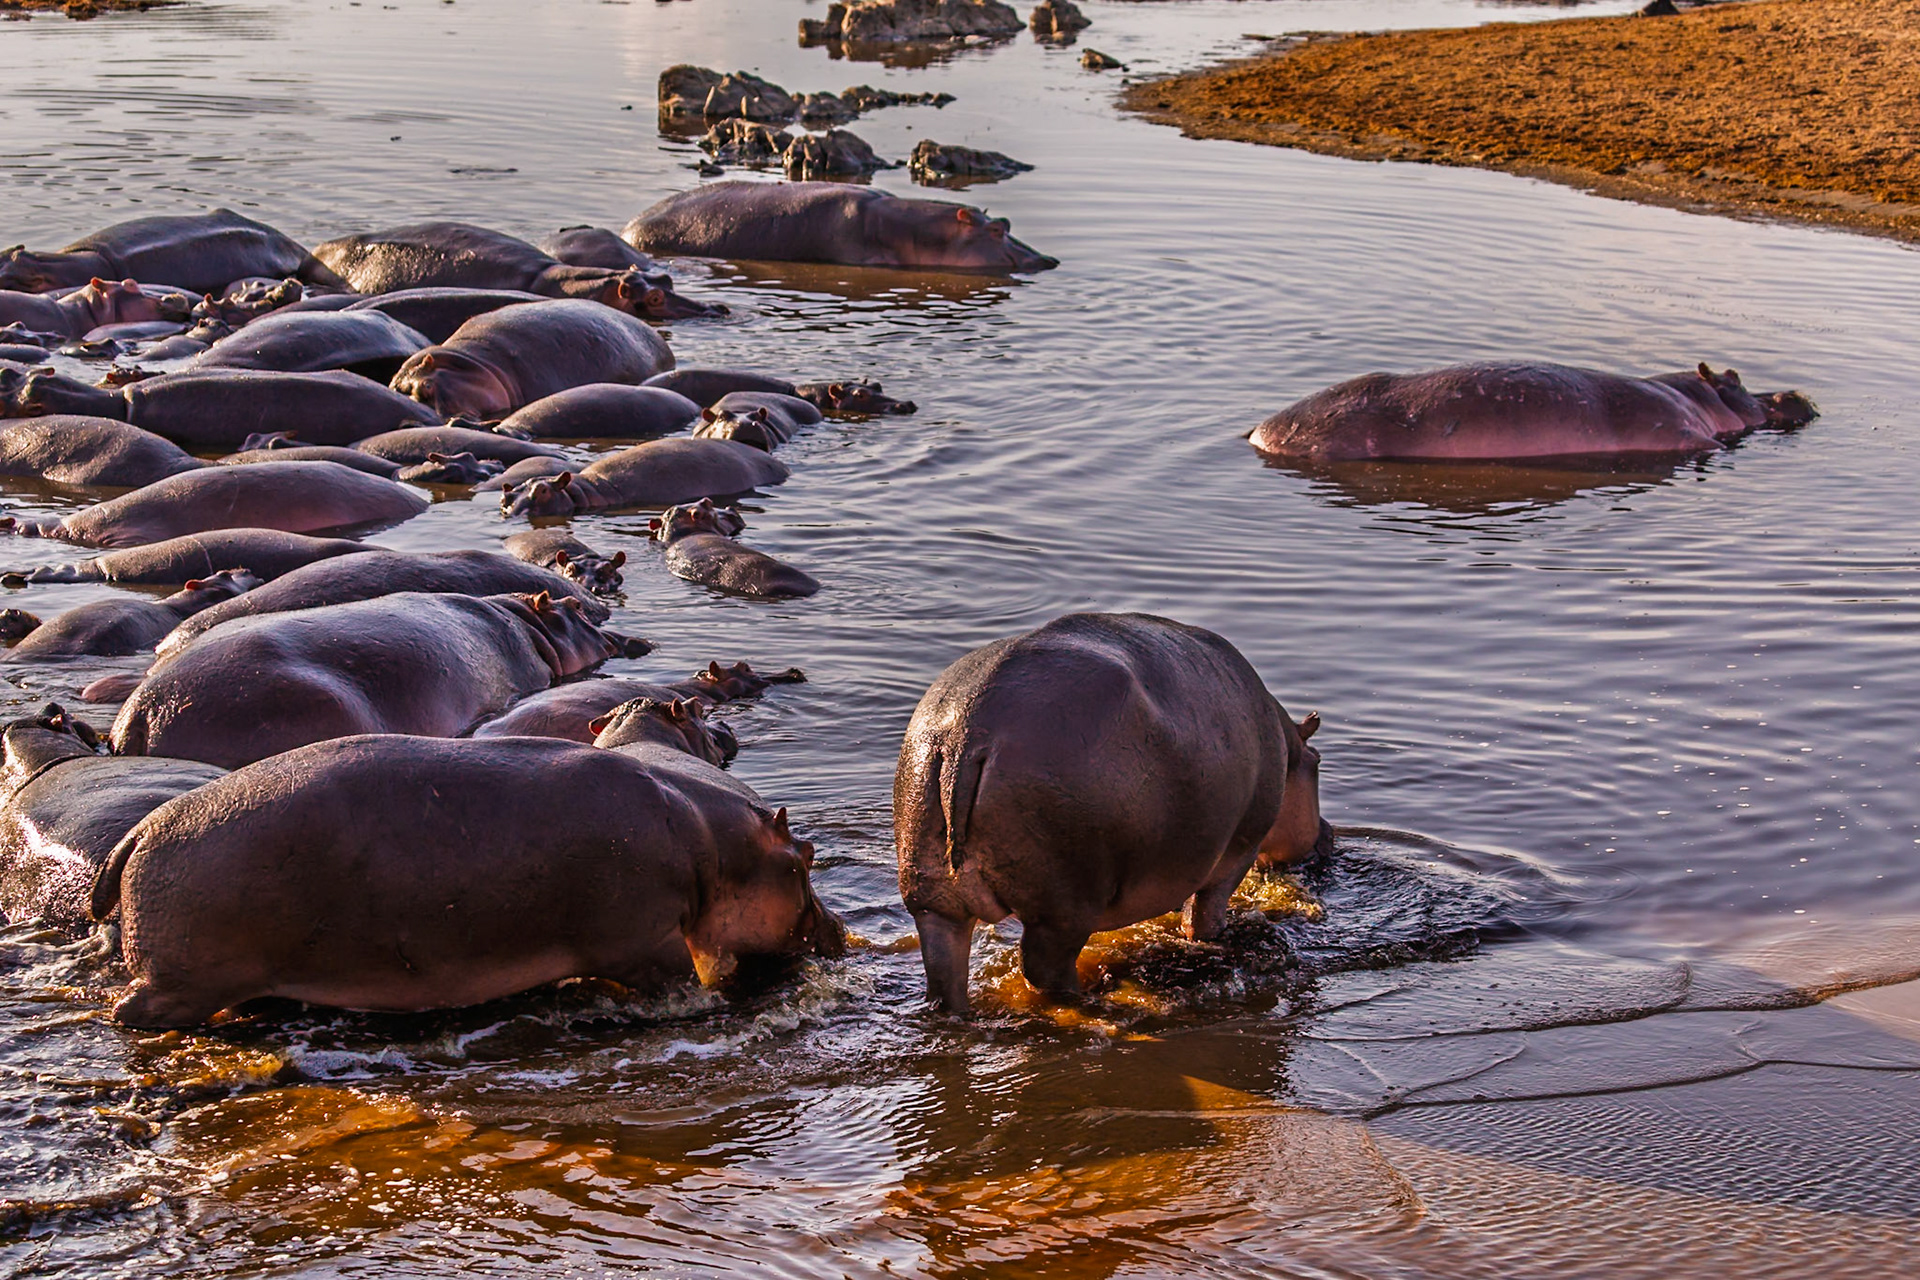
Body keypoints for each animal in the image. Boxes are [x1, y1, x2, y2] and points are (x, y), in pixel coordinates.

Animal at [895, 612, 1329, 1012]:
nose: (1327, 834)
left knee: (944, 969)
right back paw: (1091, 999)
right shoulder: (1239, 848)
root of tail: (966, 738)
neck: (1289, 749)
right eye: (1319, 761)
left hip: (931, 894)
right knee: (1043, 968)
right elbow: (1204, 915)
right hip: (1065, 906)